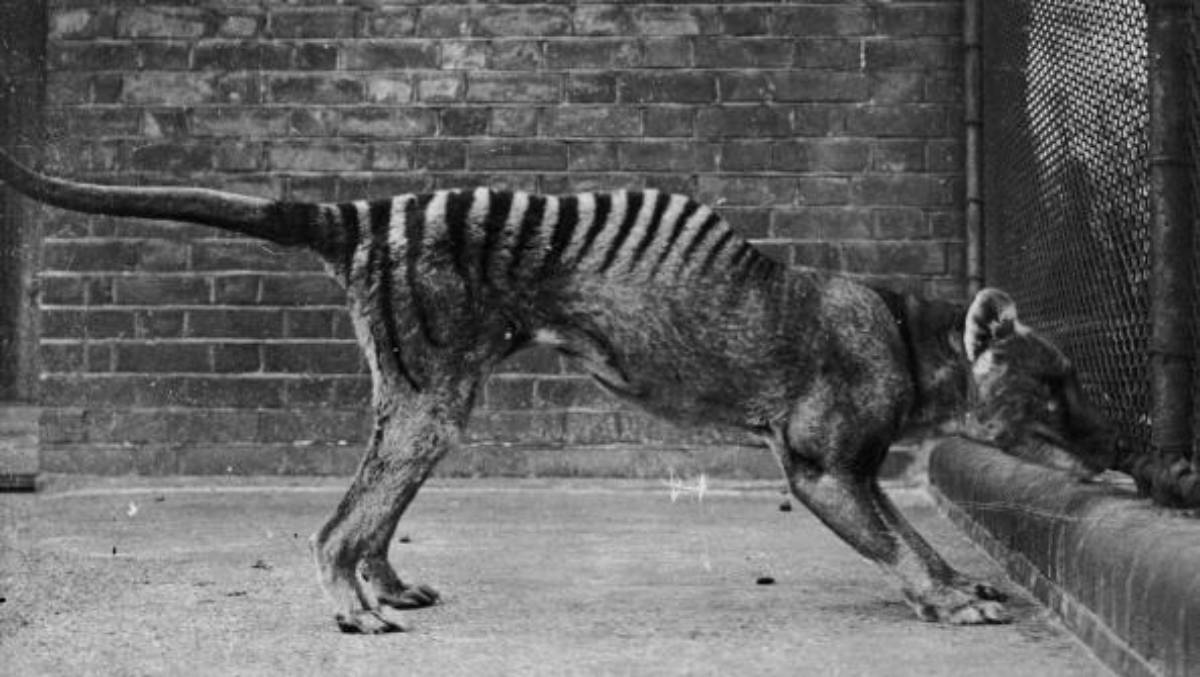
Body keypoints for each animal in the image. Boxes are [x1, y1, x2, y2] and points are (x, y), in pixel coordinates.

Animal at [0, 148, 1121, 633]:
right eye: (1055, 386)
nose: (1120, 453)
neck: (910, 336)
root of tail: (364, 214)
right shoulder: (818, 465)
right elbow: (899, 542)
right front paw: (945, 596)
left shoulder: (859, 468)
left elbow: (917, 528)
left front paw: (962, 578)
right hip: (430, 404)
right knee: (331, 527)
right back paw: (352, 609)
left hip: (428, 402)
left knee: (371, 512)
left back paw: (385, 582)